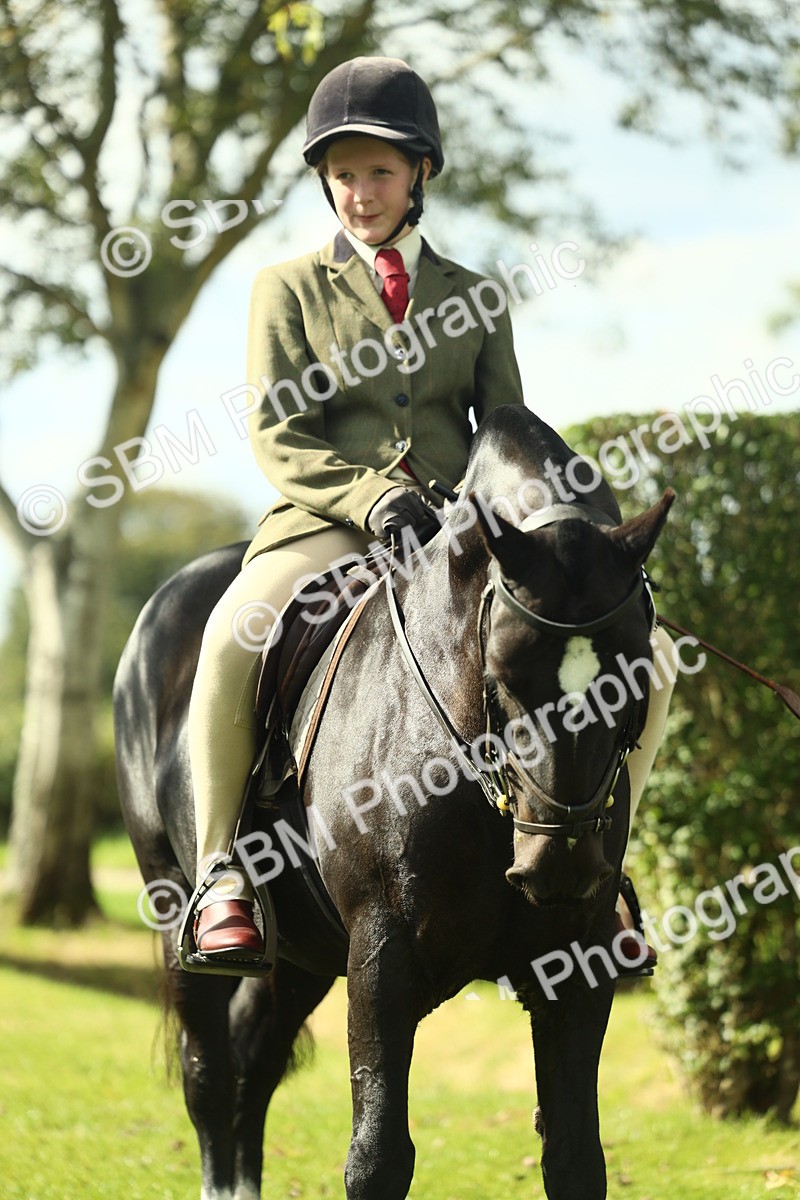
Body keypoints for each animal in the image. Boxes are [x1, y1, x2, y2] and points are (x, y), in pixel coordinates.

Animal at [114, 404, 674, 1200]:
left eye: (633, 675)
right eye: (504, 671)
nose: (558, 862)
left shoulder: (577, 960)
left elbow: (574, 1158)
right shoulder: (383, 953)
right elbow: (376, 1159)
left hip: (306, 954)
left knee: (257, 1063)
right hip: (174, 909)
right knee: (211, 1077)